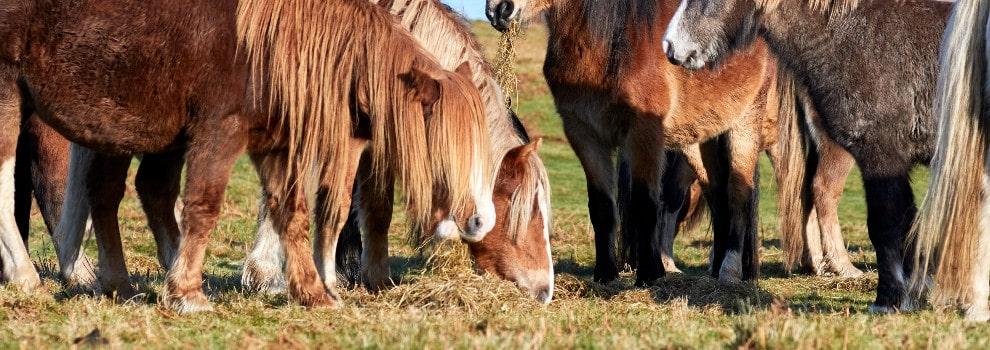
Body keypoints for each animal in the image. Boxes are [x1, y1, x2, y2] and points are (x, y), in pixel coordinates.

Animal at [484, 0, 808, 286]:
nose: (498, 10)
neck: (606, 45)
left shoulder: (644, 134)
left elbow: (645, 202)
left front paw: (650, 274)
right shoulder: (584, 134)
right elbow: (602, 206)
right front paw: (605, 275)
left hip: (742, 128)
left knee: (739, 195)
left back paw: (729, 272)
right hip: (699, 141)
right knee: (718, 198)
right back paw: (715, 272)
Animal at [668, 0, 952, 312]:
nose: (670, 46)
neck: (861, 37)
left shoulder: (882, 159)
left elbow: (886, 225)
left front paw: (888, 300)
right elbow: (906, 222)